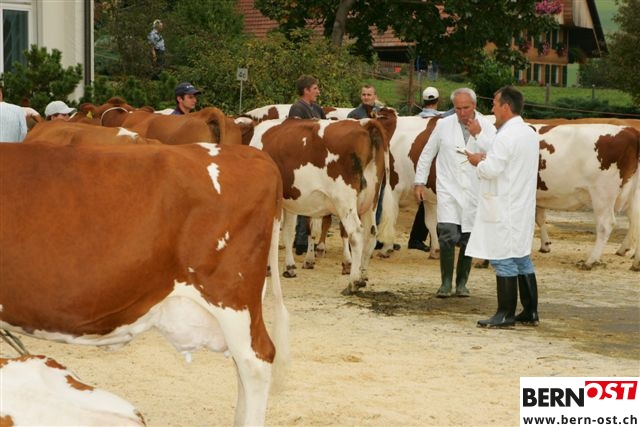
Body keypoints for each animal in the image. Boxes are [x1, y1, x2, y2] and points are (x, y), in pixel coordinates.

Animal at [250, 116, 391, 295]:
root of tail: (364, 123)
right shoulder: (289, 201)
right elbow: (288, 233)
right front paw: (289, 267)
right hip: (371, 200)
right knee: (371, 233)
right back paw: (362, 275)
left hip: (344, 200)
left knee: (356, 233)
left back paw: (353, 282)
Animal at [534, 123, 640, 270]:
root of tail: (630, 129)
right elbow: (540, 218)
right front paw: (545, 245)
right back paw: (636, 263)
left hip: (602, 193)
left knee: (605, 224)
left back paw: (590, 261)